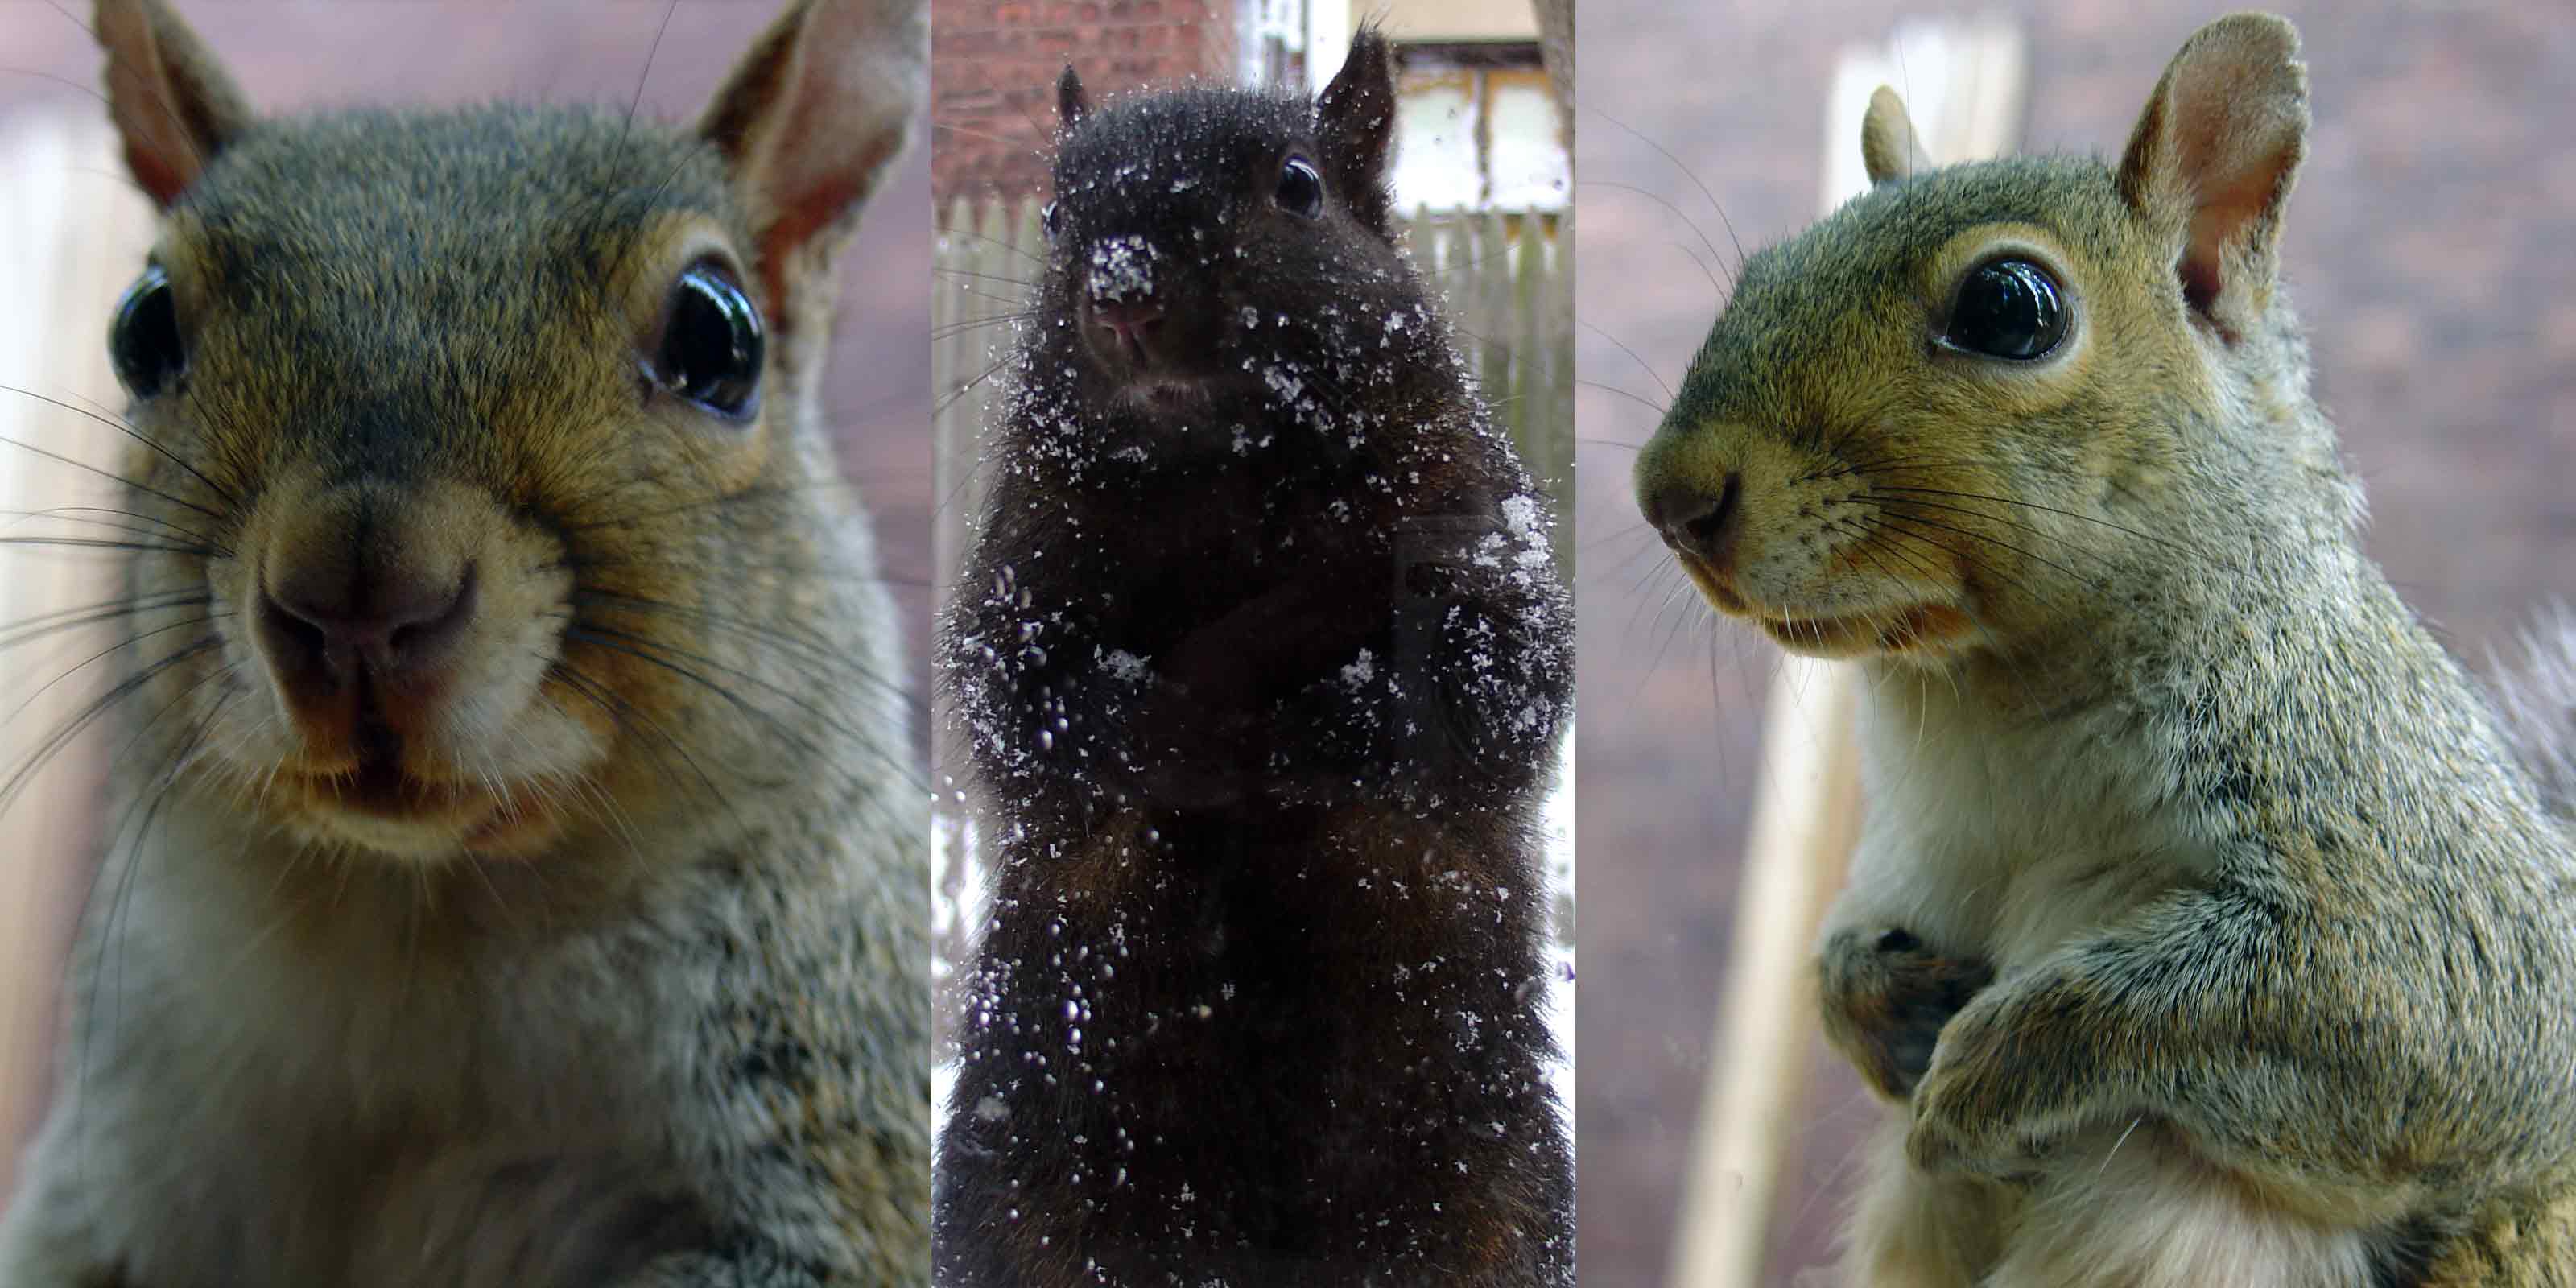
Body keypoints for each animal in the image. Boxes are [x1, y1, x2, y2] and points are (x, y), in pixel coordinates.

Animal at [0, 0, 930, 1283]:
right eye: (140, 329)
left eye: (718, 338)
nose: (353, 593)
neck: (424, 924)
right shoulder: (100, 1187)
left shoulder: (843, 1152)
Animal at [933, 29, 1576, 1288]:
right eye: (1054, 214)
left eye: (1299, 188)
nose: (1123, 289)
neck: (1222, 470)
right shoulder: (1020, 578)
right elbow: (1021, 706)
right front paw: (1177, 726)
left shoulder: (1478, 527)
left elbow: (1496, 681)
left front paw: (1317, 724)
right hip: (1037, 1192)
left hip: (1489, 1197)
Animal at [1633, 13, 2576, 1288]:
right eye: (1761, 271)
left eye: (2008, 308)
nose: (1667, 495)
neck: (1987, 710)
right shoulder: (1913, 852)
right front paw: (1872, 999)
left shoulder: (2419, 873)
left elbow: (2406, 1018)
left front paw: (2002, 1062)